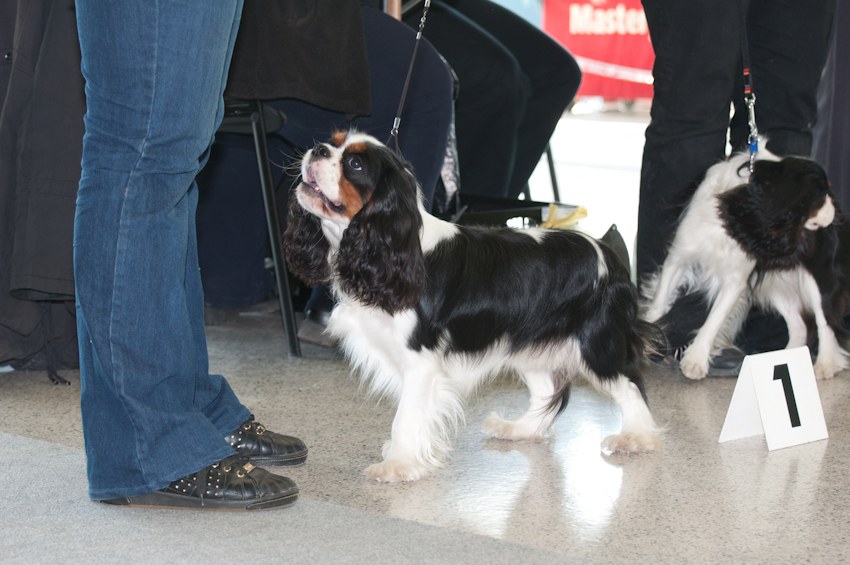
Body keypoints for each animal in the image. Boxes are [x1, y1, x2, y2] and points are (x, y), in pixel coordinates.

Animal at [283, 131, 662, 482]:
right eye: (332, 143)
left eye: (355, 164)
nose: (318, 149)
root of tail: (606, 251)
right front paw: (405, 457)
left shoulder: (421, 361)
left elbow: (405, 417)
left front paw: (398, 465)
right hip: (528, 346)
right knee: (548, 392)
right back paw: (520, 429)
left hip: (596, 343)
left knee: (629, 385)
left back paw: (638, 438)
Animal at [643, 146, 848, 380]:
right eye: (821, 196)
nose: (835, 212)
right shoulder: (680, 256)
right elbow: (659, 301)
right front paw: (648, 334)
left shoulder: (735, 281)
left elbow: (715, 318)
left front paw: (695, 360)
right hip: (775, 285)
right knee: (799, 326)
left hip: (816, 278)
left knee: (825, 323)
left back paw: (825, 364)